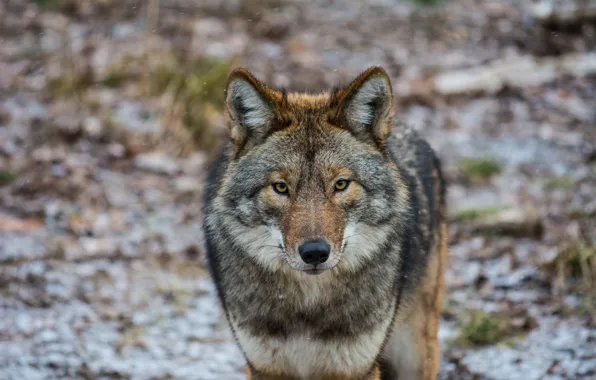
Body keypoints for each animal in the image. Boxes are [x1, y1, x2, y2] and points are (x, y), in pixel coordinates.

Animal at [203, 67, 444, 378]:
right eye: (280, 187)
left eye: (340, 184)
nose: (315, 253)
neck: (309, 305)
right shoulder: (264, 367)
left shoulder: (355, 368)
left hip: (414, 354)